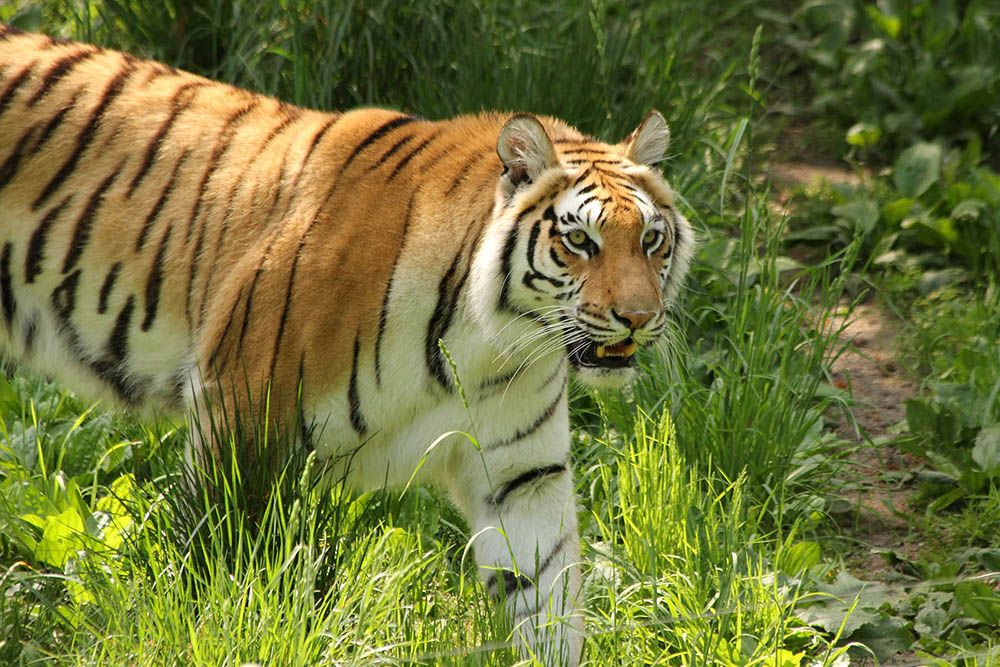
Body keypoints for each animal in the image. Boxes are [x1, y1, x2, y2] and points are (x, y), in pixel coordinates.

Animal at [0, 23, 696, 664]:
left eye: (651, 240)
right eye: (581, 241)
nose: (638, 317)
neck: (488, 344)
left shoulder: (523, 473)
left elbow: (545, 594)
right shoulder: (241, 412)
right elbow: (216, 559)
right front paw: (204, 627)